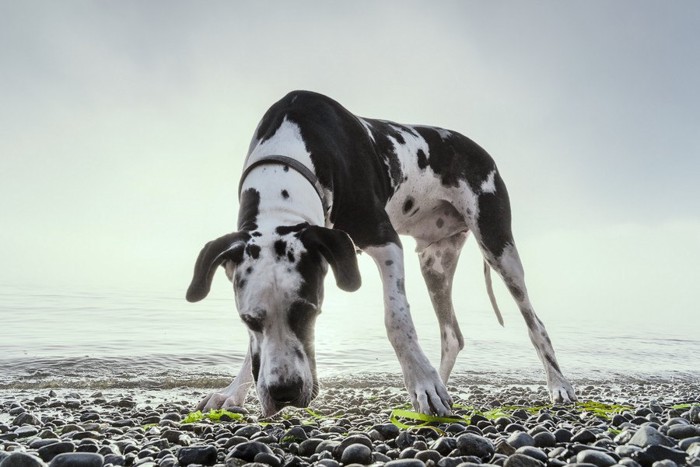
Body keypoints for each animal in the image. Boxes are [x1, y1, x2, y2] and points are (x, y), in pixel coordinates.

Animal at [186, 90, 576, 416]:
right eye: (249, 320)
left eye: (309, 311)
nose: (284, 393)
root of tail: (480, 149)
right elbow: (252, 347)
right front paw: (232, 392)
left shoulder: (386, 242)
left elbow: (397, 320)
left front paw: (421, 381)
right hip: (434, 262)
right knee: (452, 335)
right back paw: (442, 381)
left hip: (498, 247)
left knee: (535, 324)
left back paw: (557, 385)